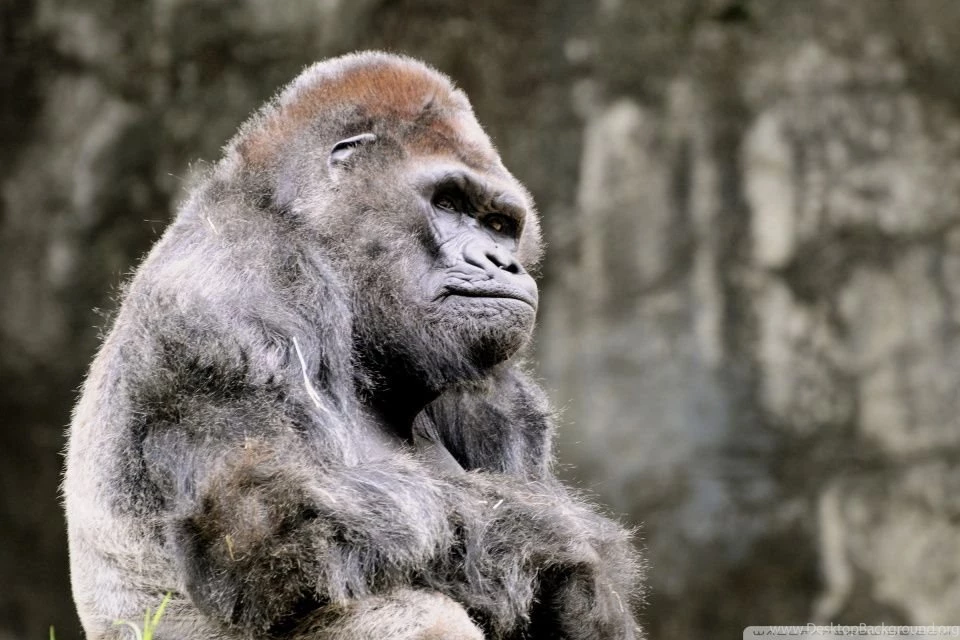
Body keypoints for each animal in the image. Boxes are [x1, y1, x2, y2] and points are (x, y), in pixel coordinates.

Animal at [64, 51, 643, 639]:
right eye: (447, 202)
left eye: (500, 225)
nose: (500, 262)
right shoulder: (235, 286)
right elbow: (278, 523)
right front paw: (574, 552)